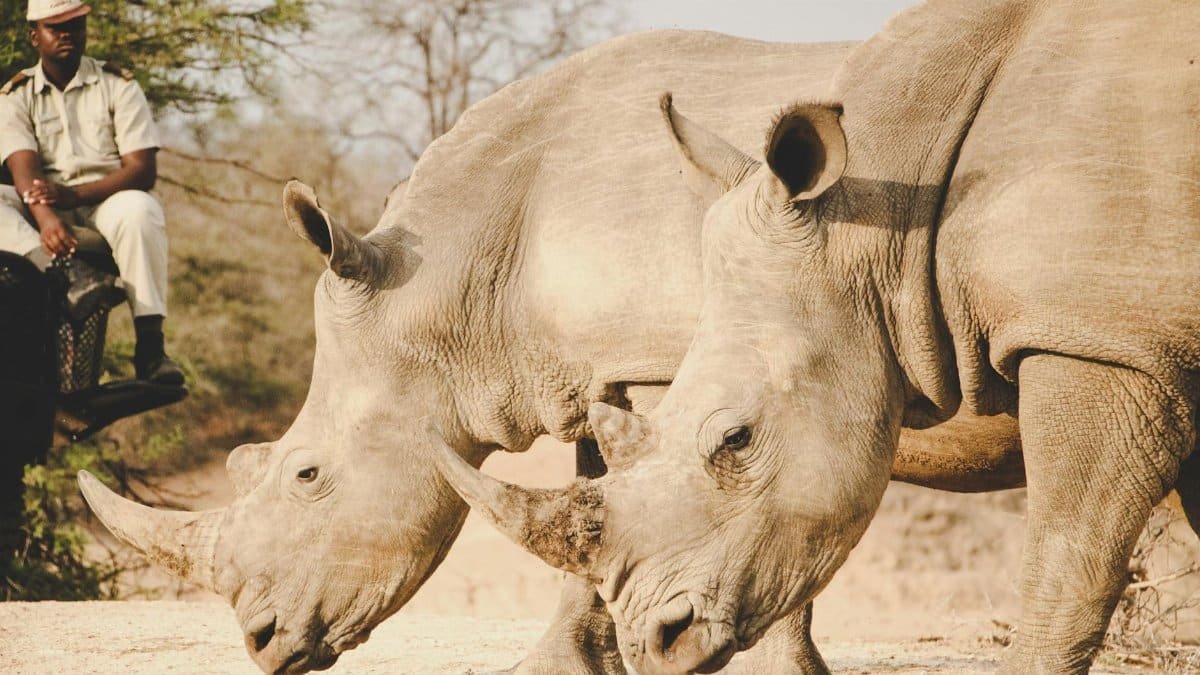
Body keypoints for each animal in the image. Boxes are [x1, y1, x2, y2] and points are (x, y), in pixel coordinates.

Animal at [78, 29, 1021, 675]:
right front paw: (560, 663)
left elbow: (738, 488)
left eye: (307, 475)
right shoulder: (603, 363)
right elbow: (598, 485)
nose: (260, 641)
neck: (455, 289)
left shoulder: (699, 353)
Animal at [436, 2, 1200, 674]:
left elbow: (1067, 561)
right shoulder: (1157, 342)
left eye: (737, 439)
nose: (658, 641)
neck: (888, 217)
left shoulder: (1100, 339)